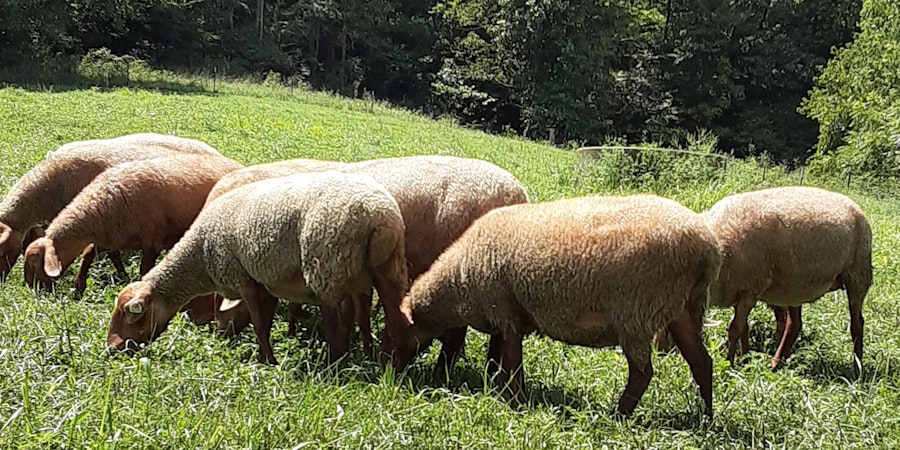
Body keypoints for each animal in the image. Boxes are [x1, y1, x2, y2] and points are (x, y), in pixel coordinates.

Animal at [23, 153, 243, 290]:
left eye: (34, 263)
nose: (31, 290)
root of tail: (236, 164)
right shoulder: (112, 237)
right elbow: (90, 253)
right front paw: (80, 286)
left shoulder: (151, 242)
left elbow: (144, 270)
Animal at [107, 171, 409, 365]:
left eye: (131, 314)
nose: (111, 349)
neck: (200, 254)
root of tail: (379, 214)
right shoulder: (266, 281)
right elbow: (265, 319)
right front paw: (265, 355)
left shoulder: (242, 278)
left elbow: (260, 324)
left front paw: (268, 361)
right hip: (382, 267)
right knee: (383, 316)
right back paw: (378, 361)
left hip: (327, 267)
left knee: (338, 323)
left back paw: (333, 367)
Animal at [383, 194, 720, 417]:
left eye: (396, 334)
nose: (390, 377)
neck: (460, 279)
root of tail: (707, 246)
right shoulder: (504, 316)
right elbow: (498, 360)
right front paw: (496, 389)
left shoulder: (506, 312)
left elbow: (512, 362)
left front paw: (513, 399)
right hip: (680, 309)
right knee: (701, 362)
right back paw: (705, 417)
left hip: (636, 313)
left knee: (642, 373)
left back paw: (618, 416)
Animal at [702, 186, 872, 368]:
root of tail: (855, 206)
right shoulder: (739, 293)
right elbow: (744, 329)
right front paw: (745, 358)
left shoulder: (750, 291)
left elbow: (735, 330)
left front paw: (730, 363)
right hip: (795, 286)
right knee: (794, 324)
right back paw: (776, 363)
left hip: (858, 275)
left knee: (857, 324)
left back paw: (857, 368)